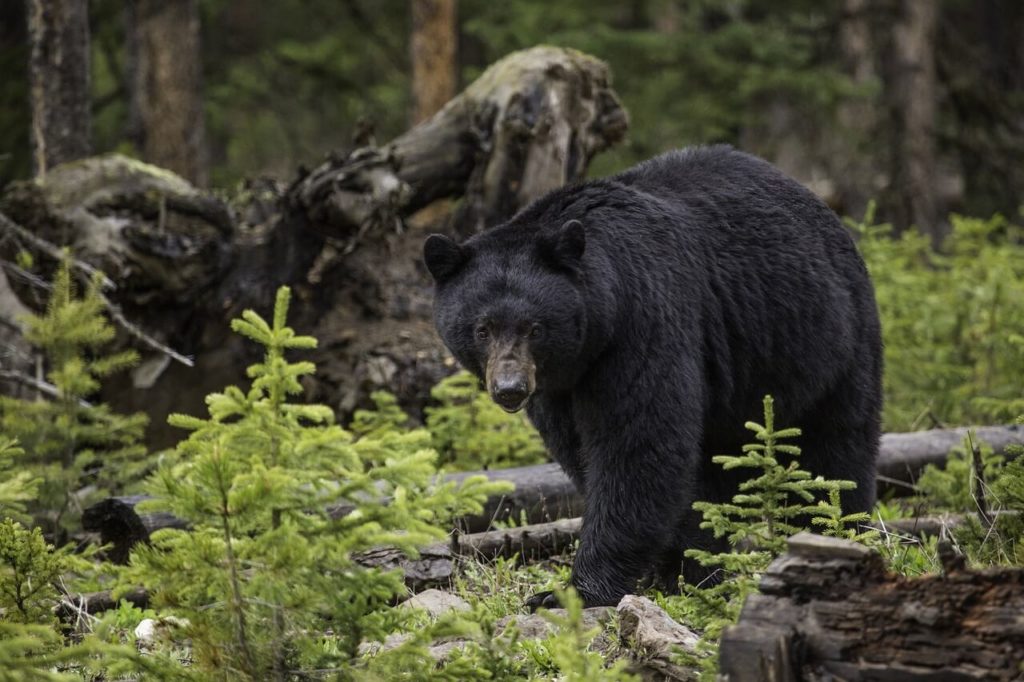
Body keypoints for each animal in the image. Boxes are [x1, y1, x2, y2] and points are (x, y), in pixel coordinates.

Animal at [421, 144, 880, 606]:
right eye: (482, 328)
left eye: (535, 327)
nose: (510, 389)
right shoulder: (560, 386)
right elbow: (583, 450)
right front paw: (677, 567)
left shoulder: (642, 321)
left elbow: (638, 445)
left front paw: (575, 590)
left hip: (828, 342)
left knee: (836, 450)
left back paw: (833, 532)